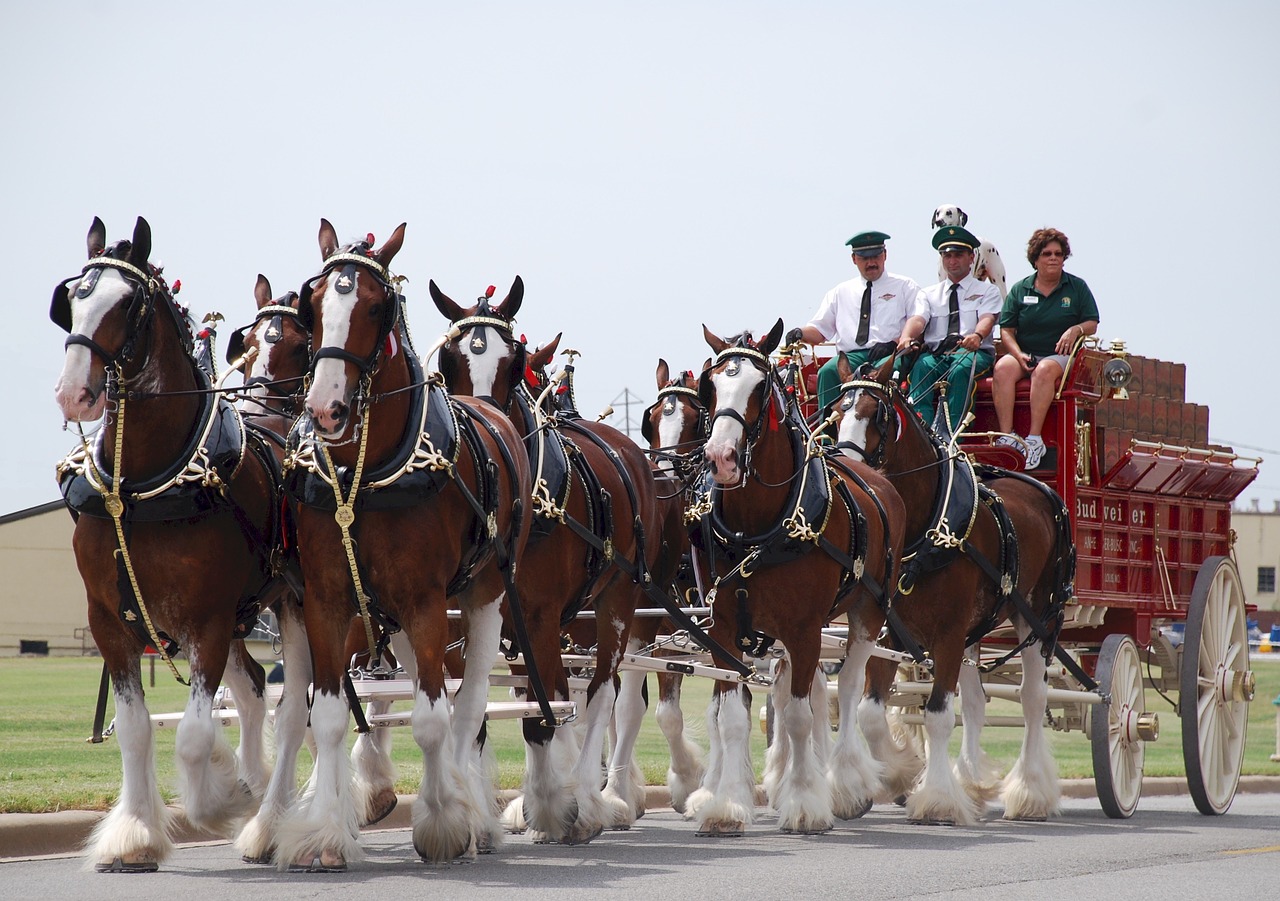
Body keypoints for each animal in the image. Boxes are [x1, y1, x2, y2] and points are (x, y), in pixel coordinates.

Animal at [53, 215, 282, 870]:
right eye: (73, 299)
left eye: (127, 304)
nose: (74, 393)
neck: (141, 487)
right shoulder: (108, 620)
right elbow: (133, 731)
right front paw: (134, 833)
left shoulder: (205, 620)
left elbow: (195, 735)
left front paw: (220, 797)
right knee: (254, 690)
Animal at [280, 221, 535, 870]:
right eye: (313, 304)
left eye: (376, 306)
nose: (326, 408)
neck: (366, 474)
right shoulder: (328, 600)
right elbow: (327, 717)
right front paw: (325, 832)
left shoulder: (427, 603)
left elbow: (431, 721)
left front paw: (444, 822)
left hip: (482, 600)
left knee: (468, 709)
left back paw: (474, 809)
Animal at [430, 280, 670, 839]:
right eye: (450, 360)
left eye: (513, 363)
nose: (485, 427)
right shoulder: (490, 617)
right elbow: (501, 705)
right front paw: (504, 808)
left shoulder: (538, 616)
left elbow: (548, 712)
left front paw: (555, 804)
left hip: (619, 602)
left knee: (603, 693)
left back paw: (590, 795)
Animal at [691, 319, 911, 834]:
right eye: (712, 385)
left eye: (760, 387)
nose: (721, 458)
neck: (755, 527)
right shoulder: (725, 629)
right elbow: (732, 717)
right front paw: (726, 805)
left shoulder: (806, 628)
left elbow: (798, 717)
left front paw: (807, 802)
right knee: (804, 689)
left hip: (866, 613)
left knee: (845, 690)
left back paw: (845, 783)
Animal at [834, 353, 1075, 824]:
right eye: (836, 414)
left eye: (875, 414)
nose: (852, 471)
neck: (925, 526)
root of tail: (1042, 489)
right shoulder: (891, 632)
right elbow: (871, 713)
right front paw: (901, 773)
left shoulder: (946, 635)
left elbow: (938, 715)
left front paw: (937, 799)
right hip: (974, 630)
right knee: (978, 701)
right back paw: (973, 784)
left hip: (1038, 616)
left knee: (1032, 698)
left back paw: (1030, 791)